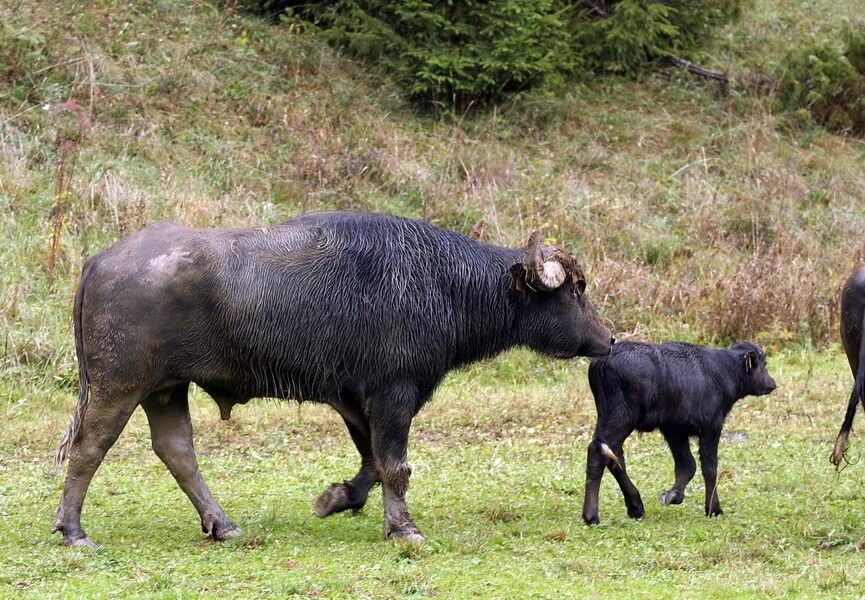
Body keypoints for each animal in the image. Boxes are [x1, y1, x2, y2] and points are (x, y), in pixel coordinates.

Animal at [52, 210, 616, 544]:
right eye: (574, 291)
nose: (608, 339)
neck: (441, 282)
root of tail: (98, 261)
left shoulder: (352, 397)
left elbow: (371, 463)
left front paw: (337, 498)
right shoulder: (394, 392)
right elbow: (395, 465)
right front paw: (403, 527)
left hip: (167, 388)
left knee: (177, 450)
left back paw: (223, 525)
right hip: (119, 384)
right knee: (90, 448)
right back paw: (73, 529)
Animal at [580, 342, 776, 524]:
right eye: (764, 364)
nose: (772, 384)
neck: (724, 371)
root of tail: (603, 360)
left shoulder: (674, 429)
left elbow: (687, 465)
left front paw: (673, 495)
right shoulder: (711, 426)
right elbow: (709, 467)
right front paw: (714, 508)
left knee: (614, 455)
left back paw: (636, 507)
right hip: (622, 417)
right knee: (599, 453)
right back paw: (591, 516)